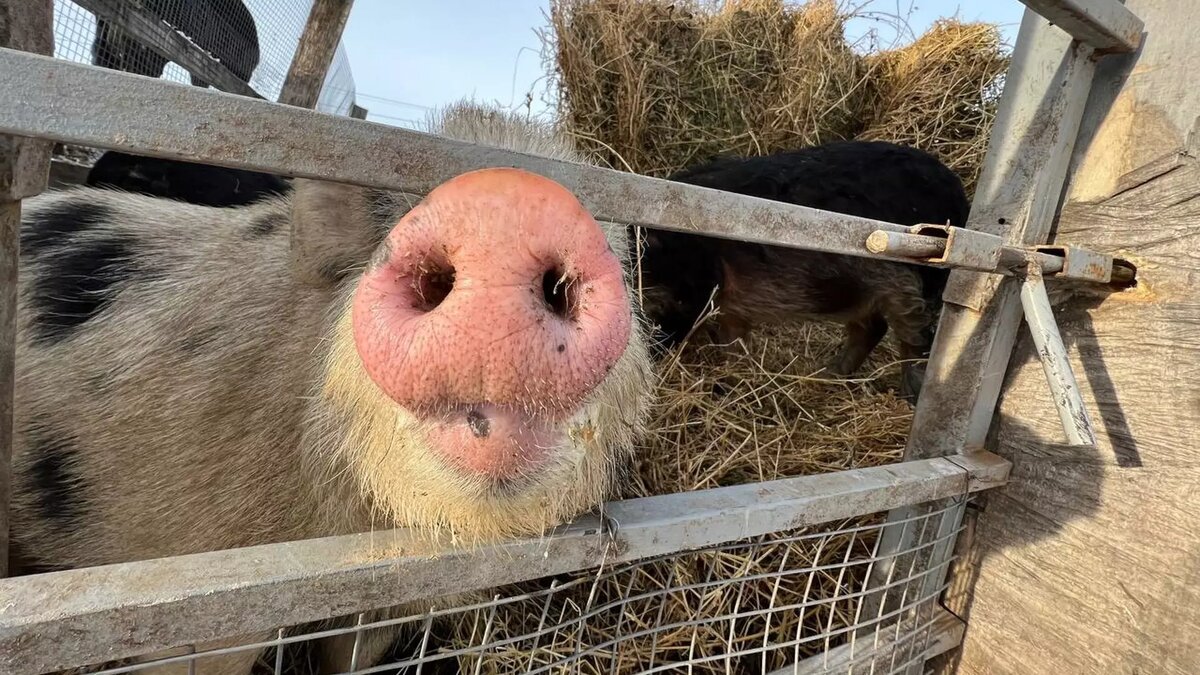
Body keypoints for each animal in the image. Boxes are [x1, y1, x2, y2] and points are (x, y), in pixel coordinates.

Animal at [633, 138, 969, 398]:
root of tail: (958, 194)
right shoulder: (726, 304)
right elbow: (733, 342)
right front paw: (733, 382)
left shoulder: (691, 291)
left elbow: (667, 334)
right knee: (872, 328)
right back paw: (826, 375)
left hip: (910, 279)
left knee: (916, 339)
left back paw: (908, 397)